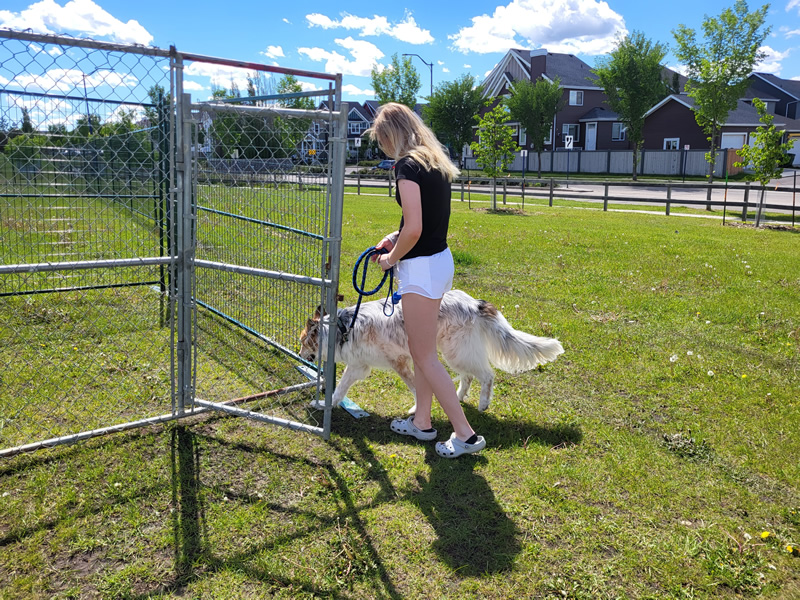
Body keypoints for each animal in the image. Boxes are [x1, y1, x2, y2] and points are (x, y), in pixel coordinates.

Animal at [296, 288, 564, 410]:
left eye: (302, 342)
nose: (298, 355)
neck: (342, 328)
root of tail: (474, 302)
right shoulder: (363, 366)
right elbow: (340, 389)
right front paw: (326, 405)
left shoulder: (393, 363)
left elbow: (415, 388)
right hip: (454, 354)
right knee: (468, 377)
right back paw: (457, 398)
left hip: (456, 353)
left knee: (487, 375)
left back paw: (482, 404)